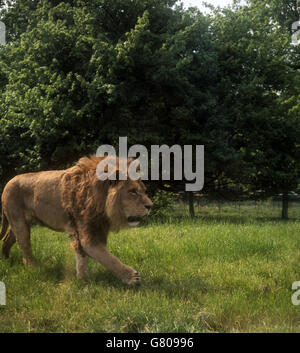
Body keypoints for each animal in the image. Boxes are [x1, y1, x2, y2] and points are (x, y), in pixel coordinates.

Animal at [0, 155, 152, 284]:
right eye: (133, 192)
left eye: (144, 190)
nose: (150, 206)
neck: (100, 199)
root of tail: (7, 183)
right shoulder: (87, 235)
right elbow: (108, 258)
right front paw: (131, 277)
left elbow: (82, 258)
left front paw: (81, 279)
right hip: (20, 224)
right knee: (25, 248)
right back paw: (33, 269)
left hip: (19, 224)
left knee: (7, 240)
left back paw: (6, 260)